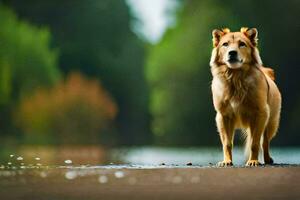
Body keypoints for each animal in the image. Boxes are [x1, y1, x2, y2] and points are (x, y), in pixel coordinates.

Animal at [209, 27, 282, 166]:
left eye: (242, 44)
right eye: (225, 44)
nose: (232, 53)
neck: (236, 78)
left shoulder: (260, 114)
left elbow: (255, 143)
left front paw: (253, 161)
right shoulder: (223, 116)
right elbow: (227, 143)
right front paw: (227, 161)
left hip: (271, 122)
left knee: (265, 142)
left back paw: (267, 159)